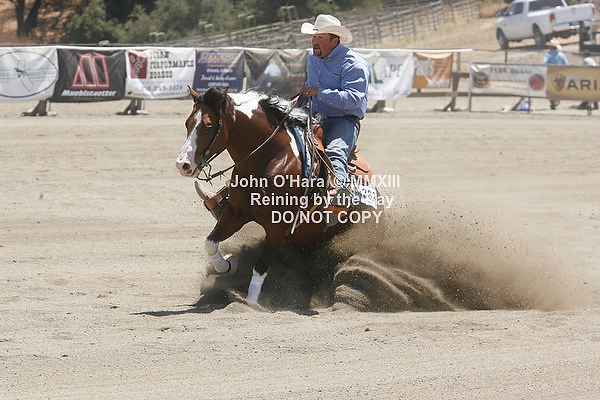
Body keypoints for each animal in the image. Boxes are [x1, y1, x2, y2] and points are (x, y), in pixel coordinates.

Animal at [175, 86, 382, 304]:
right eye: (187, 123)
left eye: (208, 125)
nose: (182, 165)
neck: (271, 157)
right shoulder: (235, 212)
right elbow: (210, 244)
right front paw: (230, 265)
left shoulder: (278, 225)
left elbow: (260, 267)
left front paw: (250, 302)